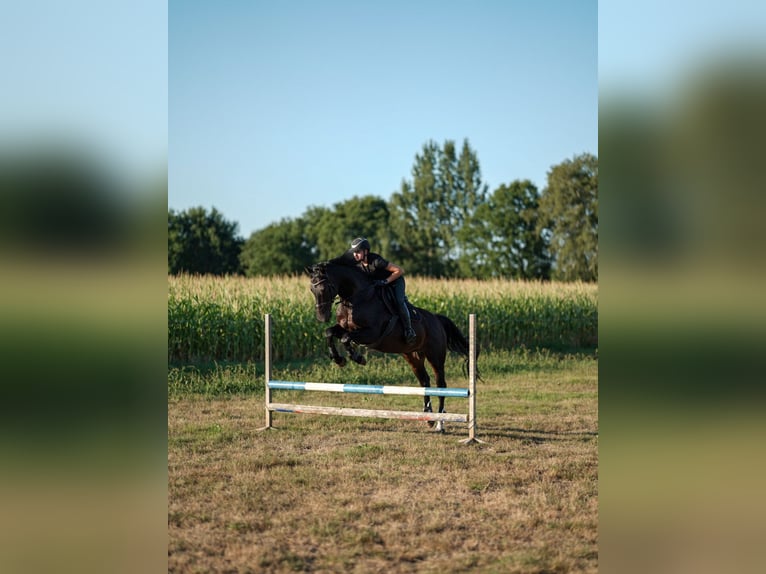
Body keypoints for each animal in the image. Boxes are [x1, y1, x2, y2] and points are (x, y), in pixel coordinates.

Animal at [305, 256, 472, 432]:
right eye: (311, 290)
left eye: (324, 288)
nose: (321, 317)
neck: (356, 298)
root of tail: (437, 319)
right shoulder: (344, 328)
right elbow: (330, 333)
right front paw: (339, 359)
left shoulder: (371, 332)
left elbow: (345, 338)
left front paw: (358, 358)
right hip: (412, 356)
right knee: (424, 381)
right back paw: (428, 416)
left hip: (435, 356)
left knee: (441, 384)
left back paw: (440, 422)